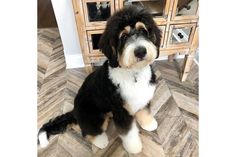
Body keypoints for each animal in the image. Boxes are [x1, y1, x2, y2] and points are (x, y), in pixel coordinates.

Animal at [37, 5, 161, 153]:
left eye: (143, 30)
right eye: (124, 36)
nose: (140, 51)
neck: (134, 73)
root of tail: (74, 111)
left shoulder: (143, 98)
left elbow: (145, 112)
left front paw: (149, 124)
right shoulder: (121, 111)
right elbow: (128, 133)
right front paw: (134, 148)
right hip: (94, 115)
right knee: (87, 132)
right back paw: (100, 141)